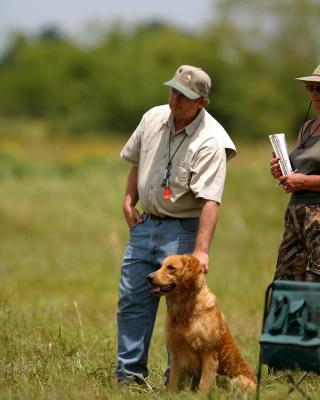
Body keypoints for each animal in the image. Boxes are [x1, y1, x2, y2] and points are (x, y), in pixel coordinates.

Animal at [148, 255, 258, 392]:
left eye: (171, 268)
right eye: (160, 266)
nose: (148, 277)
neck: (186, 309)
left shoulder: (209, 354)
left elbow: (204, 385)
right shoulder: (176, 353)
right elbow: (173, 381)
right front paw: (170, 394)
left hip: (235, 380)